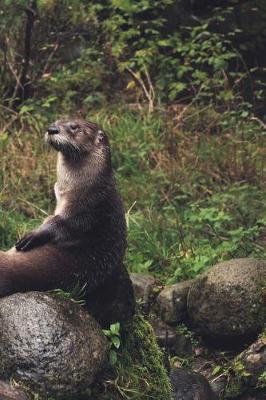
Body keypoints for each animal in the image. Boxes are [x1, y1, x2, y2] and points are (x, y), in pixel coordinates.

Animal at [0, 118, 134, 324]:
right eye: (56, 121)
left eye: (74, 127)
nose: (52, 129)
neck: (88, 186)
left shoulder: (85, 209)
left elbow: (60, 224)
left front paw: (32, 235)